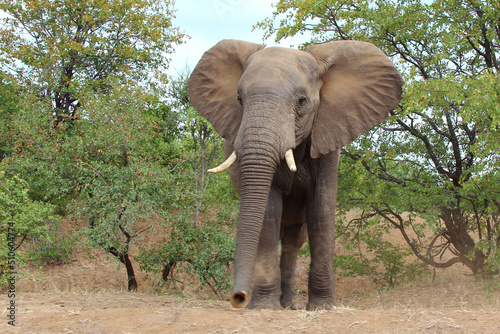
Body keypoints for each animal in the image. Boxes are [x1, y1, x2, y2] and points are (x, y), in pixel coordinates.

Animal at [187, 39, 402, 310]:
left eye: (301, 101)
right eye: (239, 99)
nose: (238, 298)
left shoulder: (327, 137)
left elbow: (320, 210)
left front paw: (322, 307)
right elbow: (268, 213)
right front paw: (264, 307)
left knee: (293, 241)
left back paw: (290, 305)